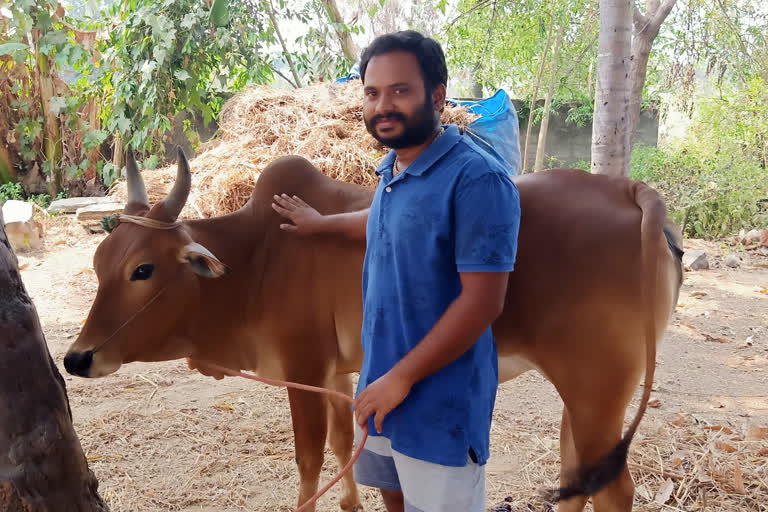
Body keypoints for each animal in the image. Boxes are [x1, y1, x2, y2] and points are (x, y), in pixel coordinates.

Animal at [63, 147, 680, 512]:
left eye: (143, 269)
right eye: (98, 262)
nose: (76, 358)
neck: (257, 259)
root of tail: (631, 191)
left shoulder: (303, 367)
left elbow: (308, 460)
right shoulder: (337, 374)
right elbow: (342, 445)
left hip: (595, 388)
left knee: (614, 489)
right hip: (583, 393)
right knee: (578, 477)